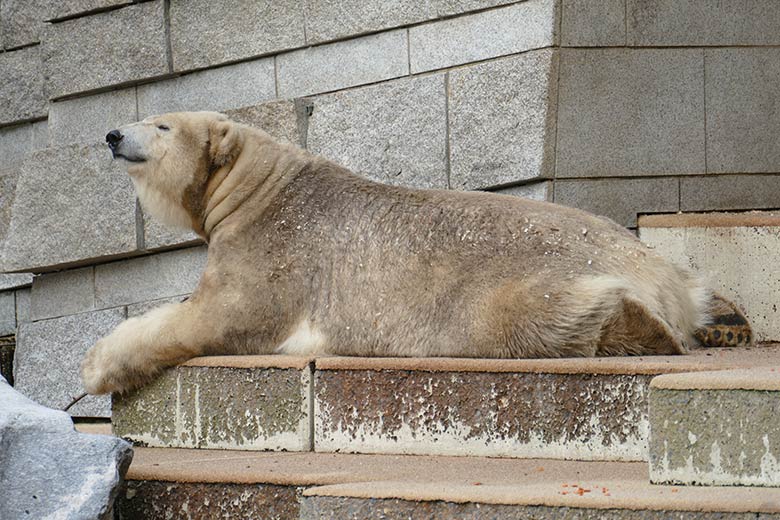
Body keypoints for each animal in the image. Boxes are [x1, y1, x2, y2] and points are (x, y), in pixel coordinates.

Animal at [79, 110, 748, 394]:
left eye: (162, 125)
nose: (111, 134)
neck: (261, 186)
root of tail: (657, 274)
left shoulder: (273, 249)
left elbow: (217, 315)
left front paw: (96, 365)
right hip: (663, 263)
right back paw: (719, 315)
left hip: (513, 287)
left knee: (526, 317)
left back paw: (640, 326)